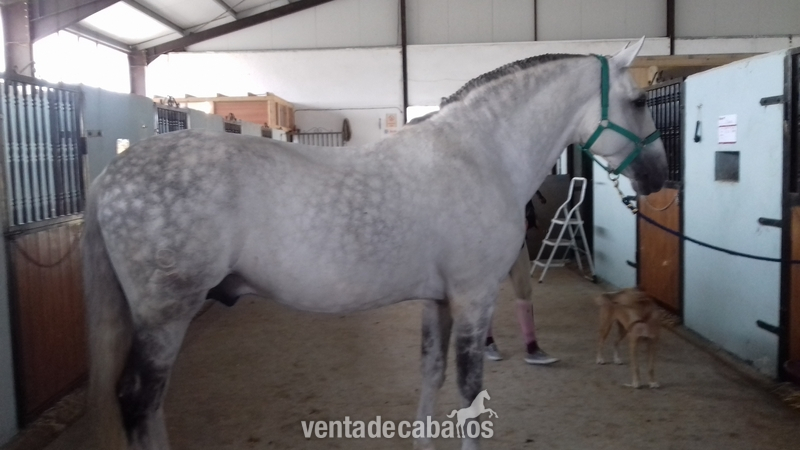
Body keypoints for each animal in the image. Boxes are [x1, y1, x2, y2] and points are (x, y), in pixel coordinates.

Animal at [83, 38, 666, 450]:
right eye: (639, 100)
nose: (660, 176)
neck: (481, 155)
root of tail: (111, 174)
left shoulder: (439, 300)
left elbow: (431, 375)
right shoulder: (475, 297)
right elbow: (469, 389)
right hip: (165, 315)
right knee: (140, 401)